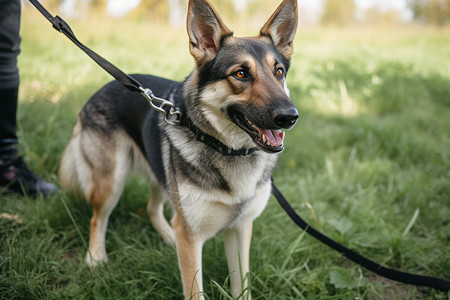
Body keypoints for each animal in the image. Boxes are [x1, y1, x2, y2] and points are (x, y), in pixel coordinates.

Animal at [59, 0, 298, 296]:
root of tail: (104, 86)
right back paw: (95, 257)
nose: (290, 116)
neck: (228, 149)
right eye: (241, 74)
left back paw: (169, 239)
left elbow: (242, 287)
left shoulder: (240, 229)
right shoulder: (192, 236)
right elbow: (195, 291)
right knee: (97, 218)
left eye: (279, 72)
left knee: (152, 208)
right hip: (111, 181)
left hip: (160, 175)